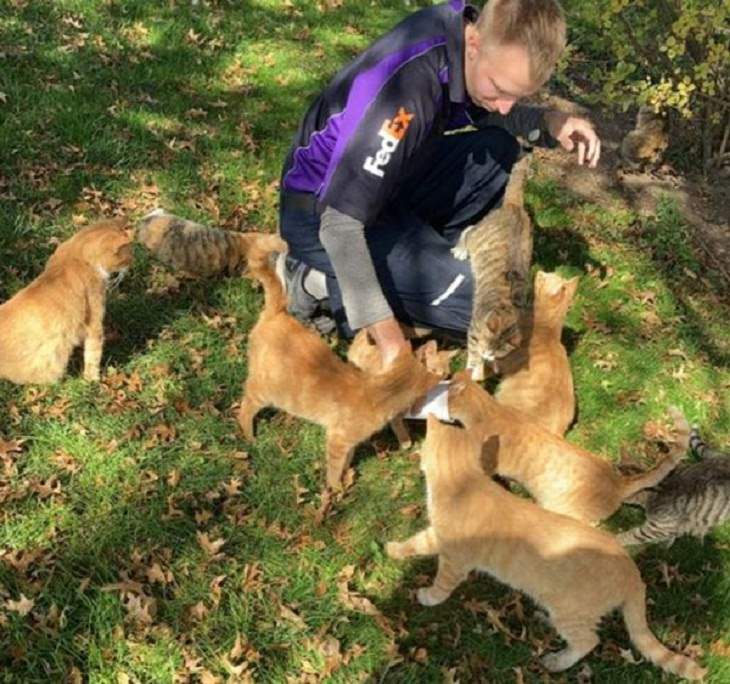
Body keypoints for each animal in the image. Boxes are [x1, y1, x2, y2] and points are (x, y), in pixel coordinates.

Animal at [0, 219, 133, 384]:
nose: (132, 262)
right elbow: (93, 355)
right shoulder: (94, 322)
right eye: (129, 253)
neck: (76, 256)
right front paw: (92, 380)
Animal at [384, 416, 704, 680]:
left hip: (570, 613)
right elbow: (414, 542)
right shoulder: (436, 536)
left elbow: (439, 583)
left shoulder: (453, 560)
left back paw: (557, 661)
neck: (466, 483)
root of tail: (632, 573)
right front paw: (394, 550)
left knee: (588, 641)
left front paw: (427, 596)